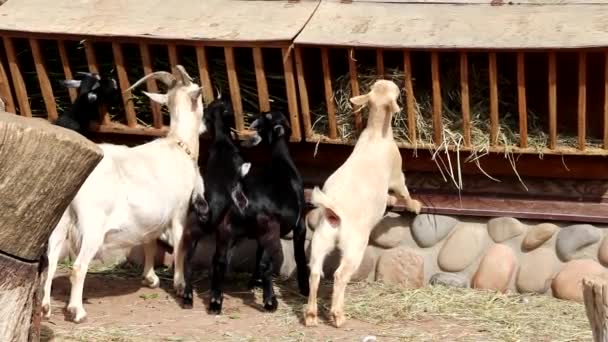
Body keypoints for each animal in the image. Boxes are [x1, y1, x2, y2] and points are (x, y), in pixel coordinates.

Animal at [41, 65, 209, 324]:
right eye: (199, 97)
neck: (178, 144)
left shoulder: (151, 215)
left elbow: (150, 241)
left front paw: (150, 278)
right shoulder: (180, 210)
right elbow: (180, 244)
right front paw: (180, 284)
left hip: (60, 221)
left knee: (50, 261)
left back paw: (45, 308)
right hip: (93, 225)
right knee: (78, 267)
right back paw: (77, 312)